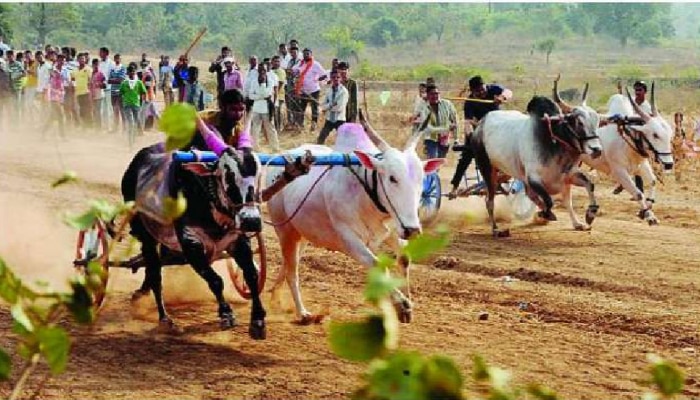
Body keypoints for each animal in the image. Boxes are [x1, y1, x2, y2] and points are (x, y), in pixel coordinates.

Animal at [120, 142, 266, 340]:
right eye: (228, 175)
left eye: (259, 175)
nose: (251, 220)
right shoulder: (191, 246)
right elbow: (216, 280)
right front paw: (226, 314)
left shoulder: (238, 241)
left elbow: (252, 276)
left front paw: (258, 321)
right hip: (147, 237)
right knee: (155, 275)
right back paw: (165, 320)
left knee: (152, 270)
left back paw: (141, 294)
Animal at [266, 114, 440, 324]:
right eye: (392, 178)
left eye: (422, 179)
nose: (412, 230)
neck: (367, 196)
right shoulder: (349, 240)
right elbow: (378, 265)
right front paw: (402, 305)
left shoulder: (392, 230)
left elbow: (404, 260)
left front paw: (405, 305)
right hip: (284, 230)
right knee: (293, 271)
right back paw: (302, 312)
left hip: (301, 234)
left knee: (288, 263)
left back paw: (275, 295)